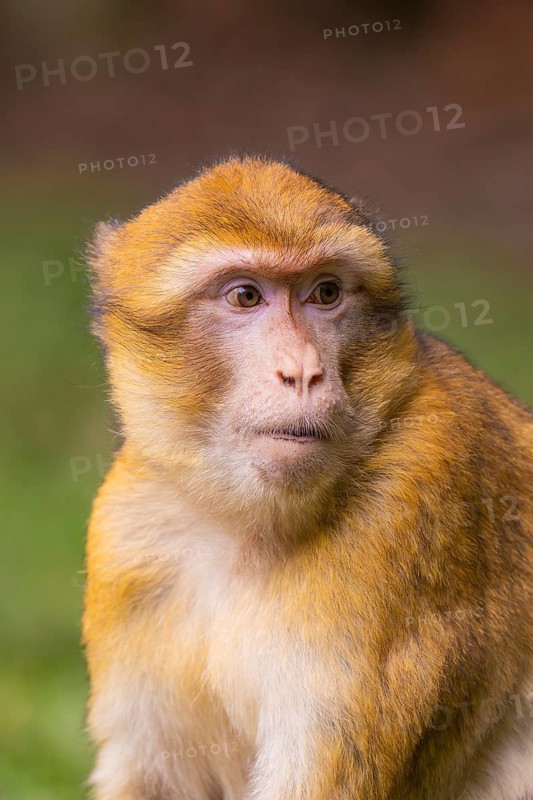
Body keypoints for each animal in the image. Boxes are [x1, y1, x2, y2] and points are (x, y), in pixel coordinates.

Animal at [83, 155, 533, 800]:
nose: (303, 372)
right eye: (246, 295)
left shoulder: (410, 508)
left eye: (326, 293)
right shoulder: (130, 531)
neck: (246, 525)